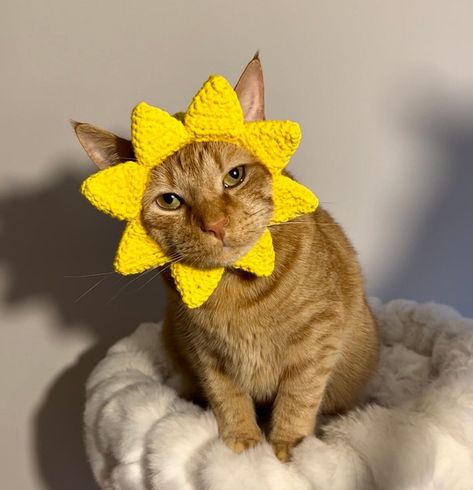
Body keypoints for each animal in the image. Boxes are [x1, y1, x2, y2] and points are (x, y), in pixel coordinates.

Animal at [76, 54, 380, 464]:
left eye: (234, 176)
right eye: (169, 200)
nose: (215, 225)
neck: (233, 290)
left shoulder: (318, 339)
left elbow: (297, 397)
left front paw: (288, 450)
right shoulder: (205, 354)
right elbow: (227, 397)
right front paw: (243, 447)